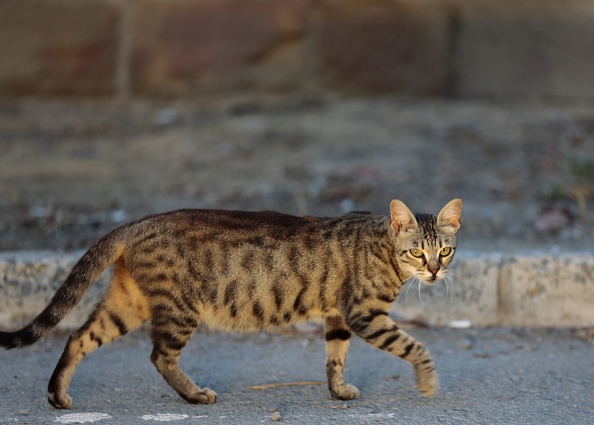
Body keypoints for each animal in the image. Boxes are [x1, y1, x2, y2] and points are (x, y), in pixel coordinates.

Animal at [0, 198, 458, 408]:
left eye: (445, 250)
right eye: (417, 253)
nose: (436, 272)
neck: (384, 250)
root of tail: (137, 222)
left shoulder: (338, 316)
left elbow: (335, 357)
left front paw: (338, 390)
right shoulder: (364, 313)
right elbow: (416, 346)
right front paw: (429, 383)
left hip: (127, 304)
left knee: (78, 336)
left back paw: (57, 396)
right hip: (180, 308)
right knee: (159, 355)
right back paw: (194, 395)